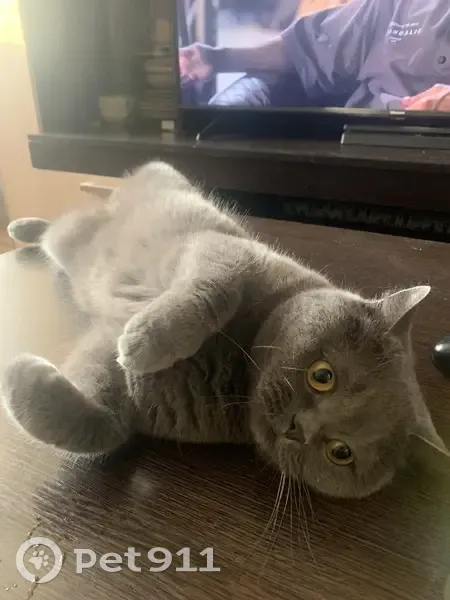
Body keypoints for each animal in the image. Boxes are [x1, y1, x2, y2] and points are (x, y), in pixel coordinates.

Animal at [1, 161, 447, 499]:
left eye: (341, 452)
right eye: (323, 376)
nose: (298, 428)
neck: (240, 362)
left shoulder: (139, 401)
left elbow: (98, 427)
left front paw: (20, 375)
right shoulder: (225, 250)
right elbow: (217, 290)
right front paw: (142, 342)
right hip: (84, 232)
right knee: (59, 223)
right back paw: (22, 227)